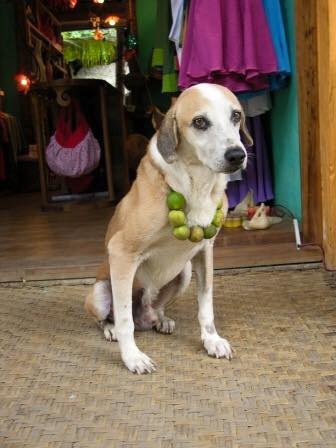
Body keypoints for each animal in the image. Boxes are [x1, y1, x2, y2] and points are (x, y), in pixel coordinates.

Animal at [84, 82, 252, 372]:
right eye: (199, 122)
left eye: (236, 115)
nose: (236, 155)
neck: (197, 184)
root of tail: (145, 315)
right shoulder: (121, 252)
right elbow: (125, 319)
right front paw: (132, 357)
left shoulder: (205, 252)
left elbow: (206, 306)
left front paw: (211, 340)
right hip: (99, 291)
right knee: (112, 317)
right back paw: (110, 329)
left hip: (183, 272)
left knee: (156, 308)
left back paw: (160, 319)